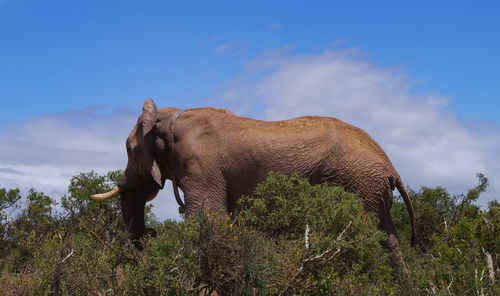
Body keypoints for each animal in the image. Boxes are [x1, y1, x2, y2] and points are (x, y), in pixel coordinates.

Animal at [92, 98, 416, 270]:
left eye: (128, 149)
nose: (152, 233)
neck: (171, 116)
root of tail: (391, 166)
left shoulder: (201, 166)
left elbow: (207, 216)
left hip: (357, 183)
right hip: (371, 188)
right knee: (389, 239)